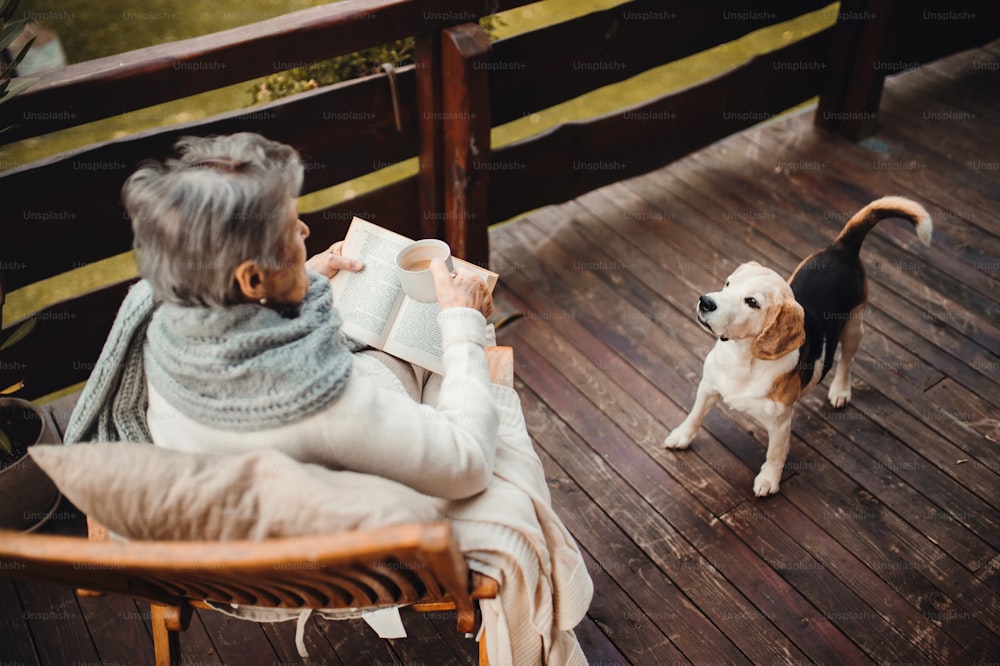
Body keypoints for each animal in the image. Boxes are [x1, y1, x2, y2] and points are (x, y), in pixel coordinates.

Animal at [664, 195, 928, 496]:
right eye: (728, 283)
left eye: (752, 302)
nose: (705, 302)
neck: (742, 359)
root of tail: (842, 248)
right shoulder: (707, 388)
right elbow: (694, 416)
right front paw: (681, 436)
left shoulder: (780, 423)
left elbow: (775, 454)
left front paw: (769, 481)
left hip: (854, 328)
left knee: (847, 362)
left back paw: (840, 391)